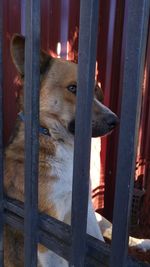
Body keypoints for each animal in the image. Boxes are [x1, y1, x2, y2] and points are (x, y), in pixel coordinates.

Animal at [3, 34, 119, 267]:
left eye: (95, 90)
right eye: (73, 88)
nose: (115, 121)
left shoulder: (87, 212)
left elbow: (97, 240)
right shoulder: (48, 231)